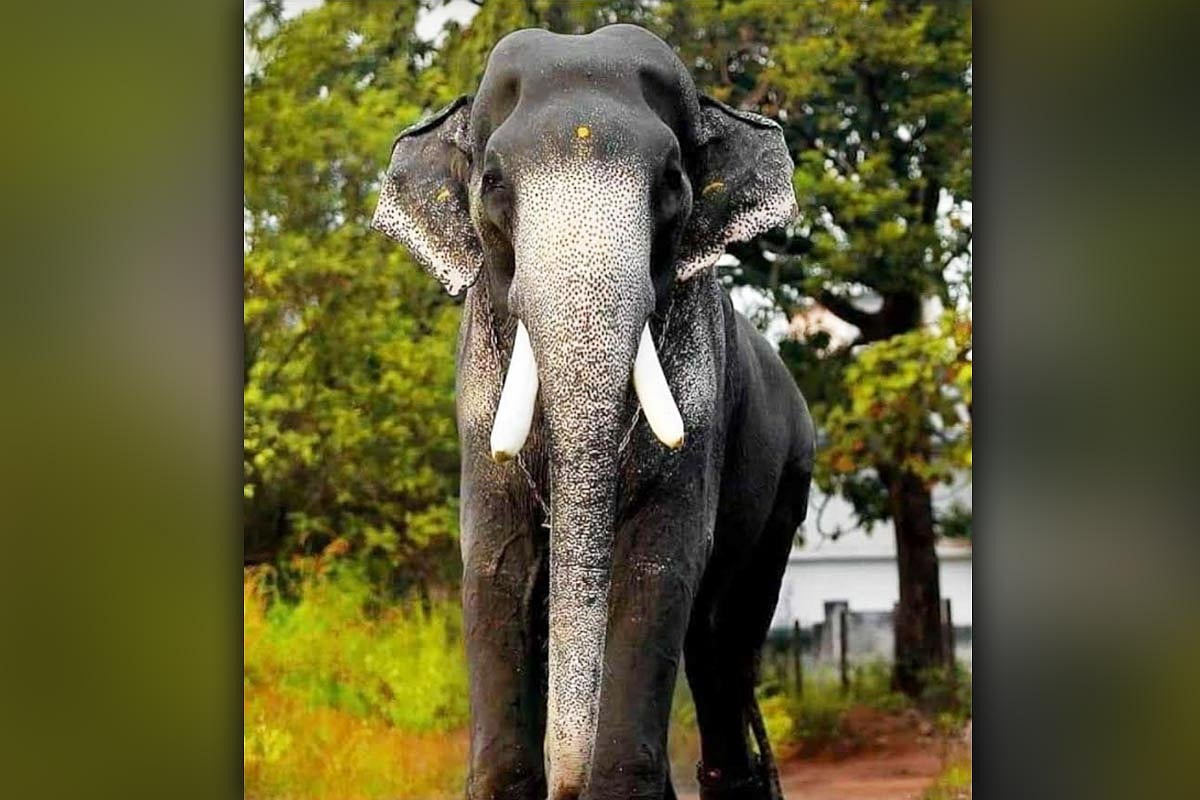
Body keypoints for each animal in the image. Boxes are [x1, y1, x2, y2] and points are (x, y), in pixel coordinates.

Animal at [372, 24, 815, 800]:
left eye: (671, 179)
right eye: (493, 180)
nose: (567, 784)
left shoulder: (700, 393)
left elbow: (660, 563)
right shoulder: (476, 399)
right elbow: (497, 565)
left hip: (788, 487)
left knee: (722, 645)